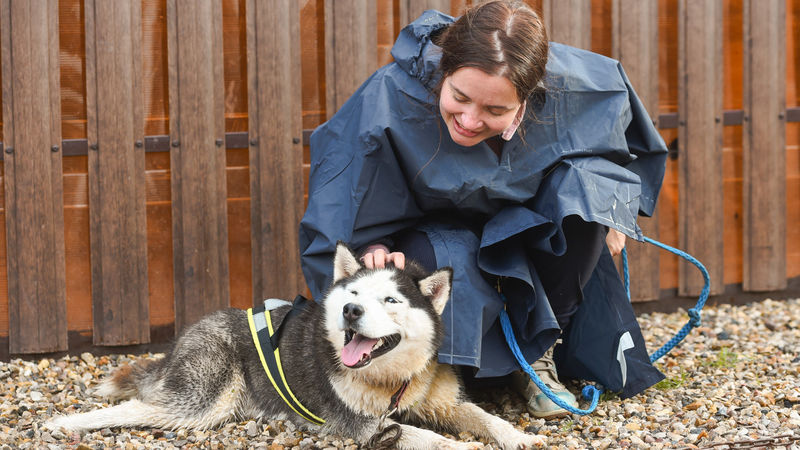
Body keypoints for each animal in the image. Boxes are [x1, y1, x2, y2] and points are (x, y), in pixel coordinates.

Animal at [47, 244, 548, 448]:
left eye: (391, 300)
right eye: (353, 294)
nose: (351, 312)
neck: (391, 383)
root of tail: (180, 340)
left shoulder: (443, 401)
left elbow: (483, 416)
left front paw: (519, 436)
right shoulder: (364, 426)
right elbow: (426, 437)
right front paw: (465, 448)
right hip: (204, 399)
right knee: (141, 409)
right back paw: (65, 422)